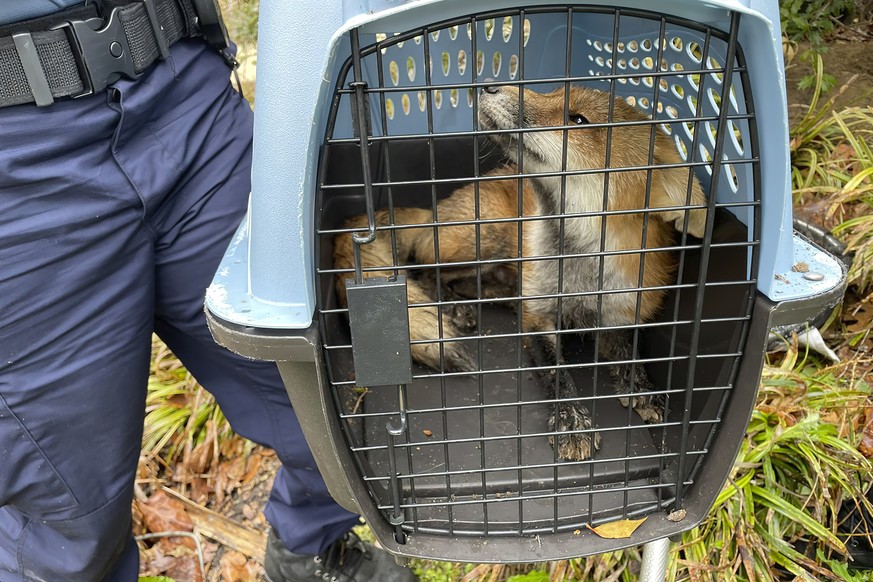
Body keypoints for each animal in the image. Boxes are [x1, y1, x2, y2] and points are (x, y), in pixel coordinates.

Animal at [330, 84, 704, 464]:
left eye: (578, 120)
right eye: (553, 91)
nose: (489, 84)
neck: (580, 274)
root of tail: (434, 210)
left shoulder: (621, 311)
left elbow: (633, 353)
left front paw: (643, 389)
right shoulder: (539, 318)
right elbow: (557, 371)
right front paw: (571, 421)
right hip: (484, 238)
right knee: (421, 269)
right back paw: (456, 307)